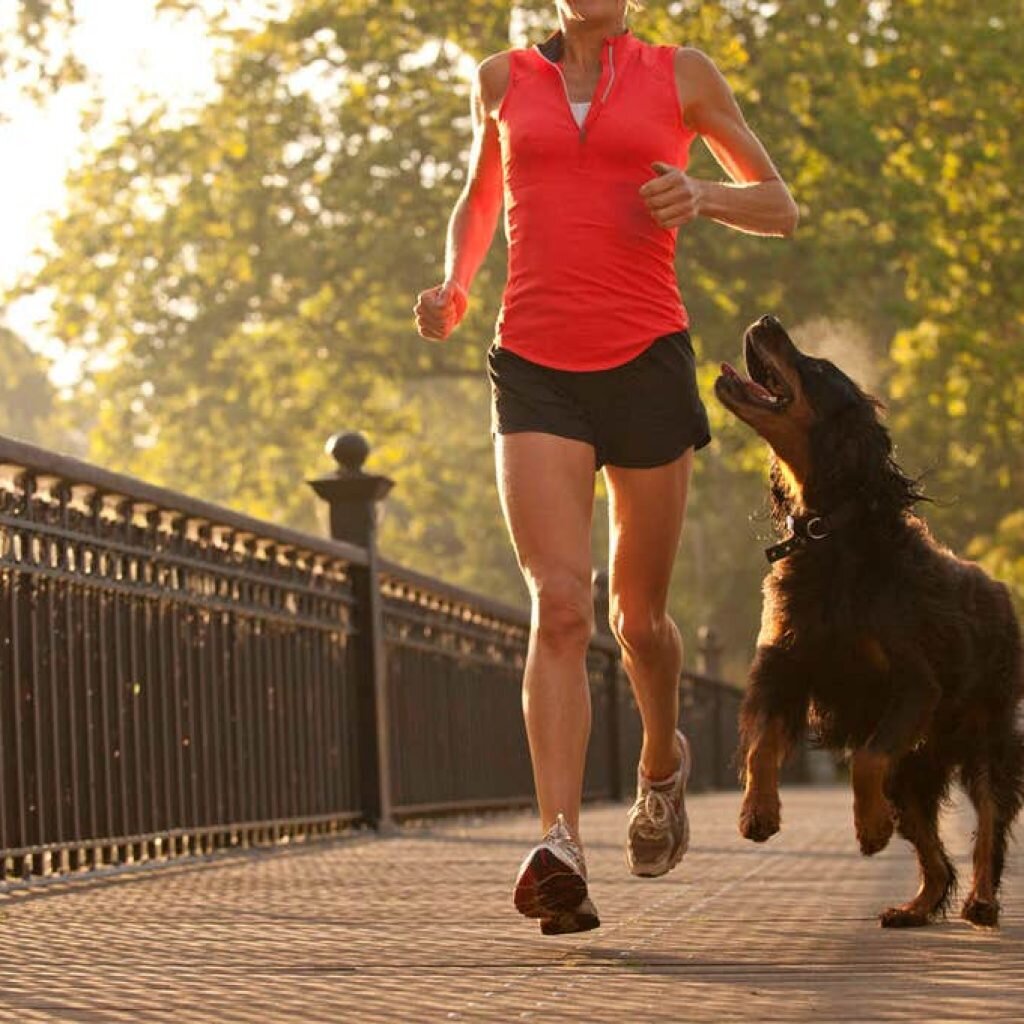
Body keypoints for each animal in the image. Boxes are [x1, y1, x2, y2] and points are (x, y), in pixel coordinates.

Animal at [716, 313, 1019, 929]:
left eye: (818, 367)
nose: (767, 320)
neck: (831, 534)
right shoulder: (785, 666)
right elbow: (761, 744)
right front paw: (758, 813)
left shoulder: (913, 684)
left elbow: (866, 758)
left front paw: (871, 828)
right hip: (918, 766)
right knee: (934, 852)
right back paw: (916, 906)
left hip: (986, 737)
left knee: (988, 826)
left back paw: (980, 901)